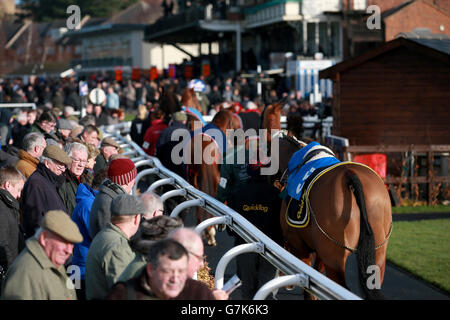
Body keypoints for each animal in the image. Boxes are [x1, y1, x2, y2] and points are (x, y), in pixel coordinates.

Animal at [262, 101, 392, 298]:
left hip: (335, 257)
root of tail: (351, 176)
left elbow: (309, 290)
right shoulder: (320, 252)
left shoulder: (300, 247)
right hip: (378, 252)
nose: (272, 181)